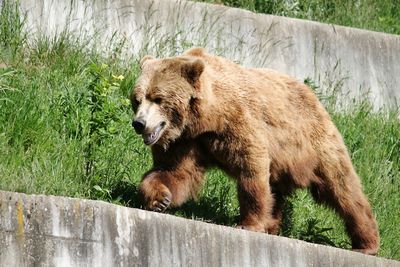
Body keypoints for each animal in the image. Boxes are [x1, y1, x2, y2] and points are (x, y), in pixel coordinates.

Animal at [130, 48, 378, 255]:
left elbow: (251, 167)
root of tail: (313, 94)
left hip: (315, 142)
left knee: (342, 187)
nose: (139, 123)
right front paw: (159, 199)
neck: (205, 119)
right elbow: (176, 172)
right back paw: (272, 225)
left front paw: (248, 224)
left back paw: (366, 244)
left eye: (158, 98)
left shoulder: (238, 121)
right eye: (137, 99)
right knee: (277, 192)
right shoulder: (186, 142)